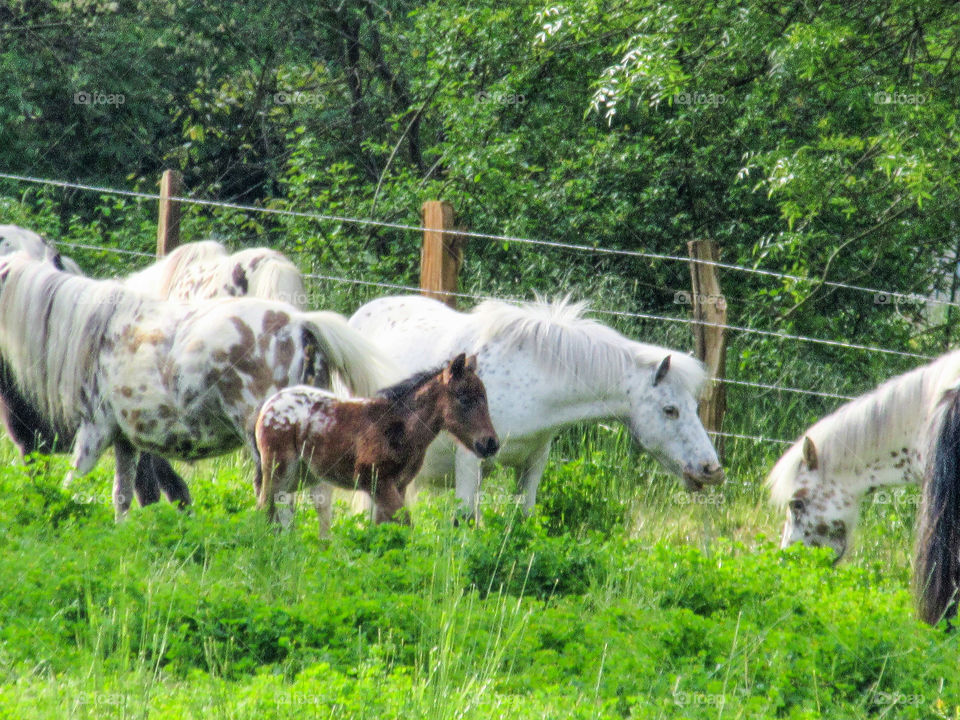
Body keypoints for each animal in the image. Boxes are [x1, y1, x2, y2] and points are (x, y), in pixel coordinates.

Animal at [0, 252, 390, 520]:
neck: (97, 327)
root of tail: (300, 324)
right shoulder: (125, 441)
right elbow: (122, 497)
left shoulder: (95, 432)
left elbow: (71, 484)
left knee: (277, 501)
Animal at [254, 353, 499, 534]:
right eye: (464, 398)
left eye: (485, 396)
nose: (490, 443)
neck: (401, 429)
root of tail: (268, 406)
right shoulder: (374, 480)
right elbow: (405, 523)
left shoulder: (397, 485)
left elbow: (387, 527)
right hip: (278, 468)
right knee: (264, 505)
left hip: (301, 475)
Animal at [343, 294, 723, 523]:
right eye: (670, 410)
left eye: (693, 407)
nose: (712, 470)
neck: (530, 378)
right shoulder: (470, 460)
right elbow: (465, 519)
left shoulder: (534, 461)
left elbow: (524, 516)